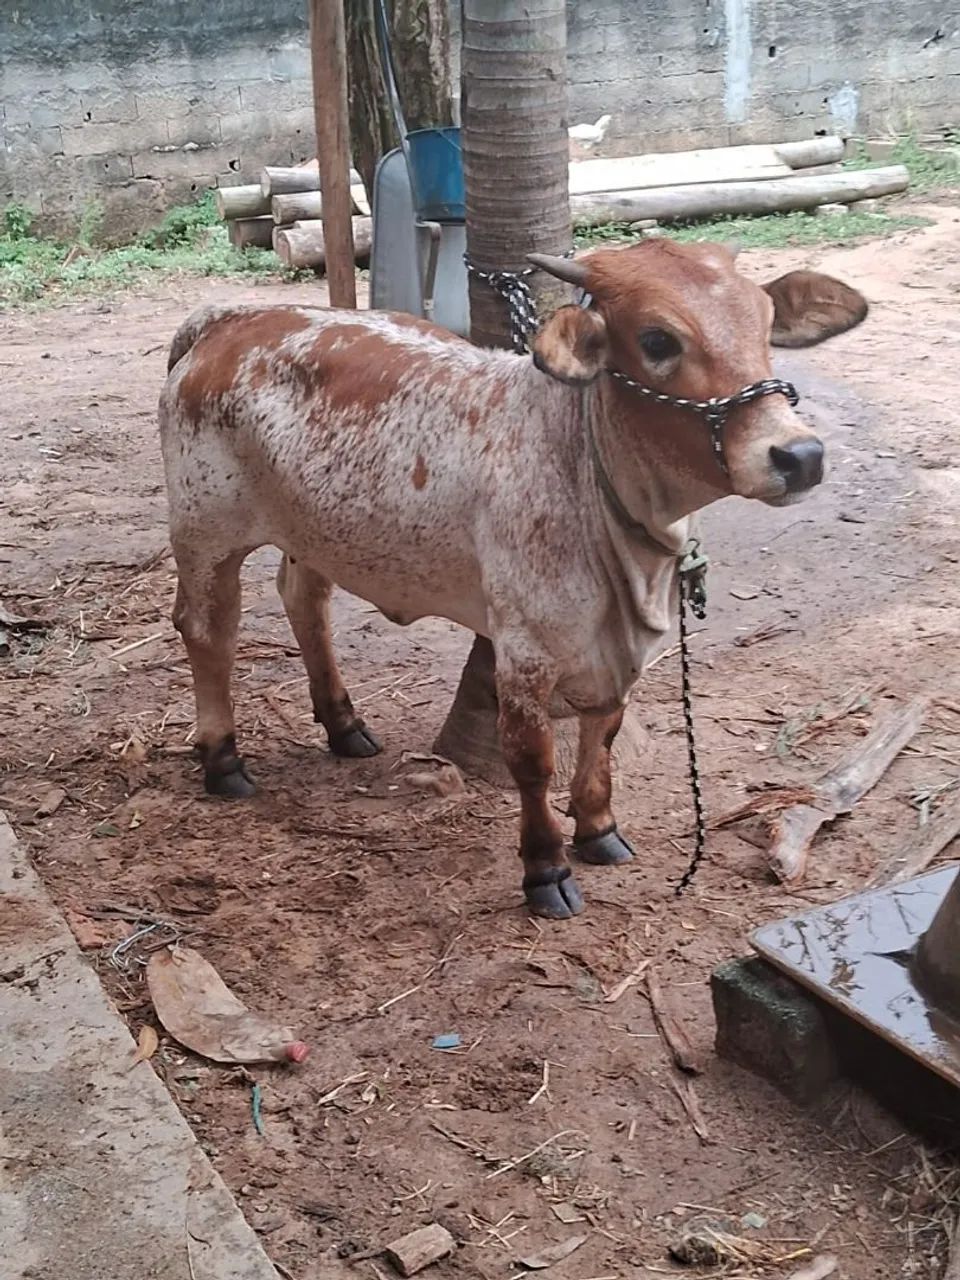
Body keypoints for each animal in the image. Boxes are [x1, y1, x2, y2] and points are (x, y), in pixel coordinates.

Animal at [159, 239, 867, 919]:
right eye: (658, 340)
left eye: (766, 322)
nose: (800, 455)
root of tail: (228, 320)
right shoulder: (524, 650)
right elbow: (531, 761)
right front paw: (546, 869)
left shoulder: (615, 653)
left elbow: (603, 733)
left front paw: (598, 829)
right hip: (204, 530)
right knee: (206, 630)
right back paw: (223, 759)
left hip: (312, 532)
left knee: (304, 601)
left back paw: (343, 725)